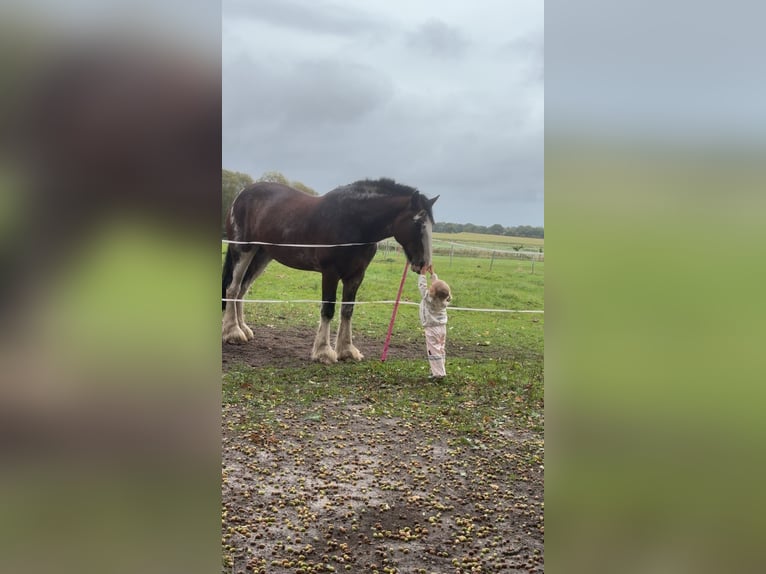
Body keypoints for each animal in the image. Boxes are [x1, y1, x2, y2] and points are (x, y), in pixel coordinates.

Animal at [221, 178, 439, 364]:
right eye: (418, 222)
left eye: (432, 225)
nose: (424, 264)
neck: (353, 221)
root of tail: (242, 194)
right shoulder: (330, 273)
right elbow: (328, 309)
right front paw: (324, 352)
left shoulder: (356, 276)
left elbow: (347, 310)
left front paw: (347, 350)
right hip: (243, 251)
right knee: (233, 288)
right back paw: (233, 333)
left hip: (261, 256)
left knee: (242, 290)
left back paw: (243, 329)